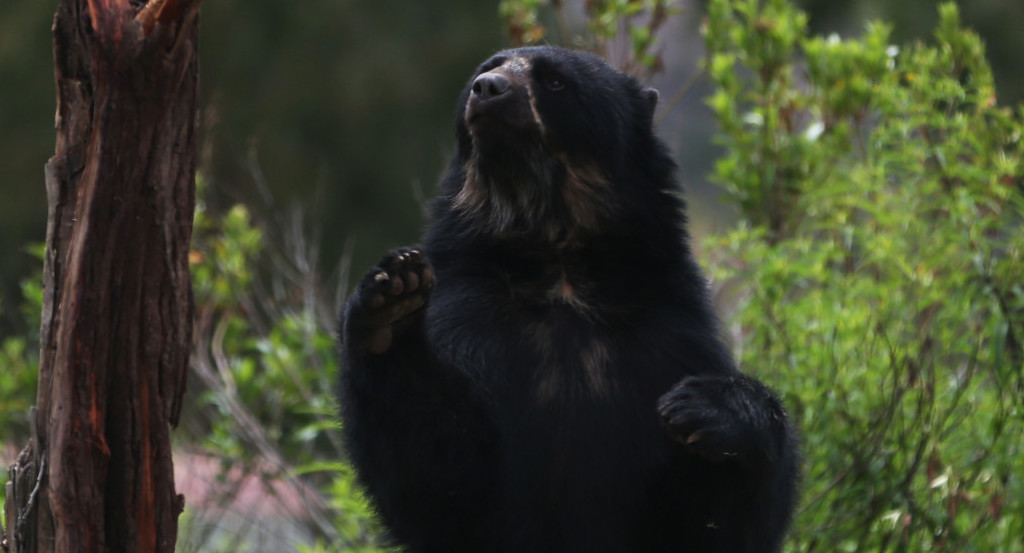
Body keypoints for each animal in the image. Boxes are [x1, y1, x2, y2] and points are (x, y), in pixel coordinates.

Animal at [337, 46, 798, 553]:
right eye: (486, 68)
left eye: (555, 81)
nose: (488, 89)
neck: (558, 264)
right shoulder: (466, 313)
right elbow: (440, 476)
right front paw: (393, 300)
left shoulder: (669, 333)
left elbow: (715, 522)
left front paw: (701, 406)